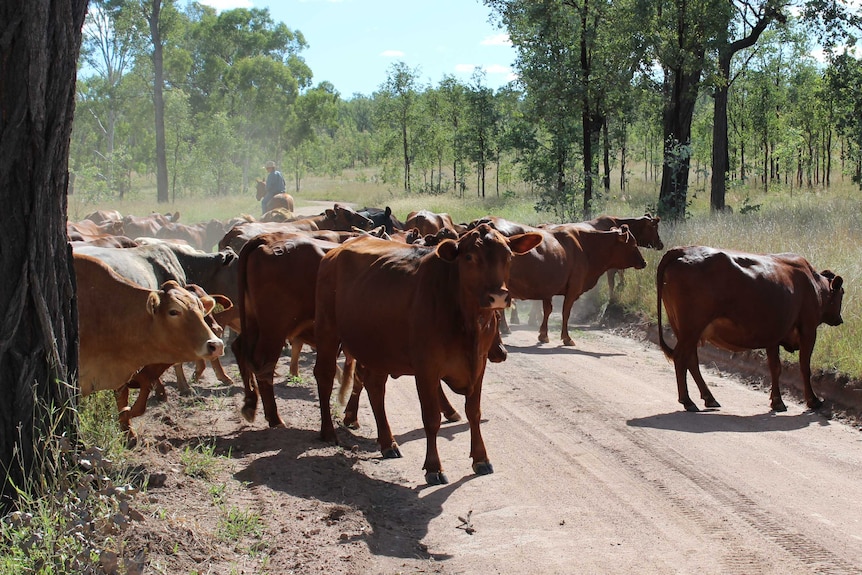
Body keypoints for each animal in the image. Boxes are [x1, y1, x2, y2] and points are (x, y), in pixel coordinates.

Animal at [312, 225, 540, 486]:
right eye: (469, 257)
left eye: (508, 256)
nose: (499, 296)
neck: (467, 321)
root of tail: (336, 251)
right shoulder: (426, 368)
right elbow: (431, 419)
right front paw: (434, 467)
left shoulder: (479, 364)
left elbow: (474, 412)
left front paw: (481, 458)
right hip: (327, 331)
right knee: (325, 376)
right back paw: (328, 432)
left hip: (378, 348)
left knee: (375, 388)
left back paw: (387, 443)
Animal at [660, 248, 848, 414]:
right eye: (842, 293)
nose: (840, 319)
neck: (813, 284)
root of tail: (682, 250)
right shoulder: (808, 330)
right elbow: (804, 367)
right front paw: (813, 401)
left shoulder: (773, 335)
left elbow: (775, 367)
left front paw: (777, 402)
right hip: (691, 329)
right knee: (681, 358)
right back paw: (687, 401)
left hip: (687, 331)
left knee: (691, 360)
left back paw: (709, 398)